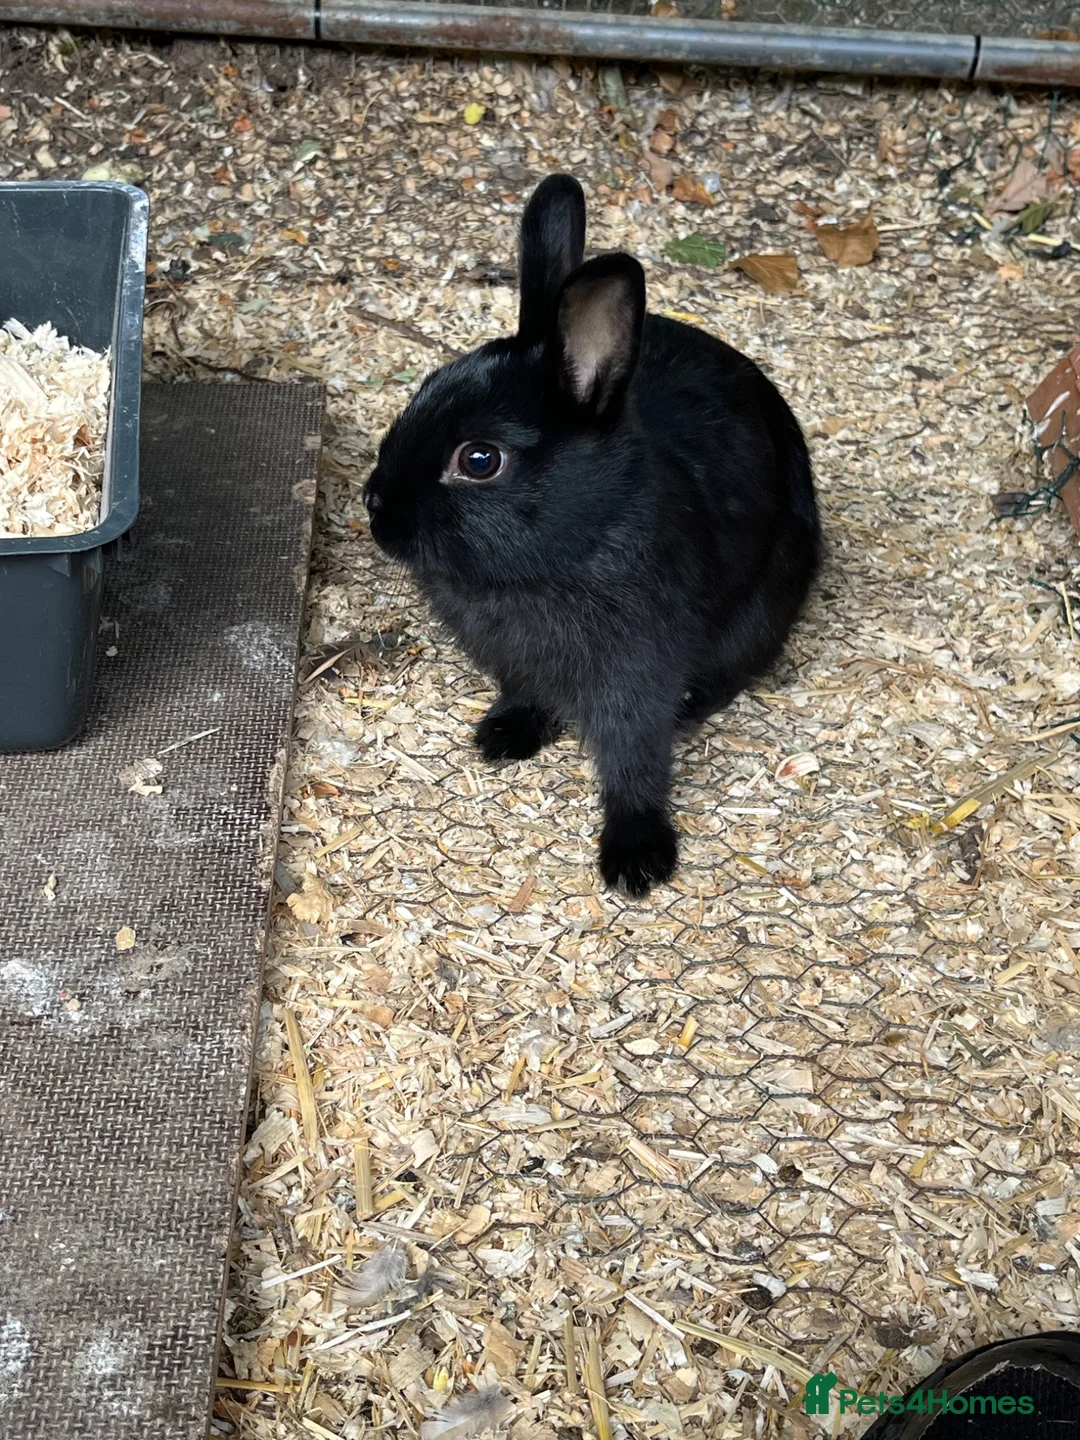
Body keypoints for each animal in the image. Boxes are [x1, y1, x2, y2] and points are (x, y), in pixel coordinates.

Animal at [364, 174, 821, 898]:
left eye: (480, 460)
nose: (376, 507)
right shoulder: (517, 664)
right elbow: (526, 693)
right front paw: (504, 737)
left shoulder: (636, 675)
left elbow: (634, 762)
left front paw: (636, 858)